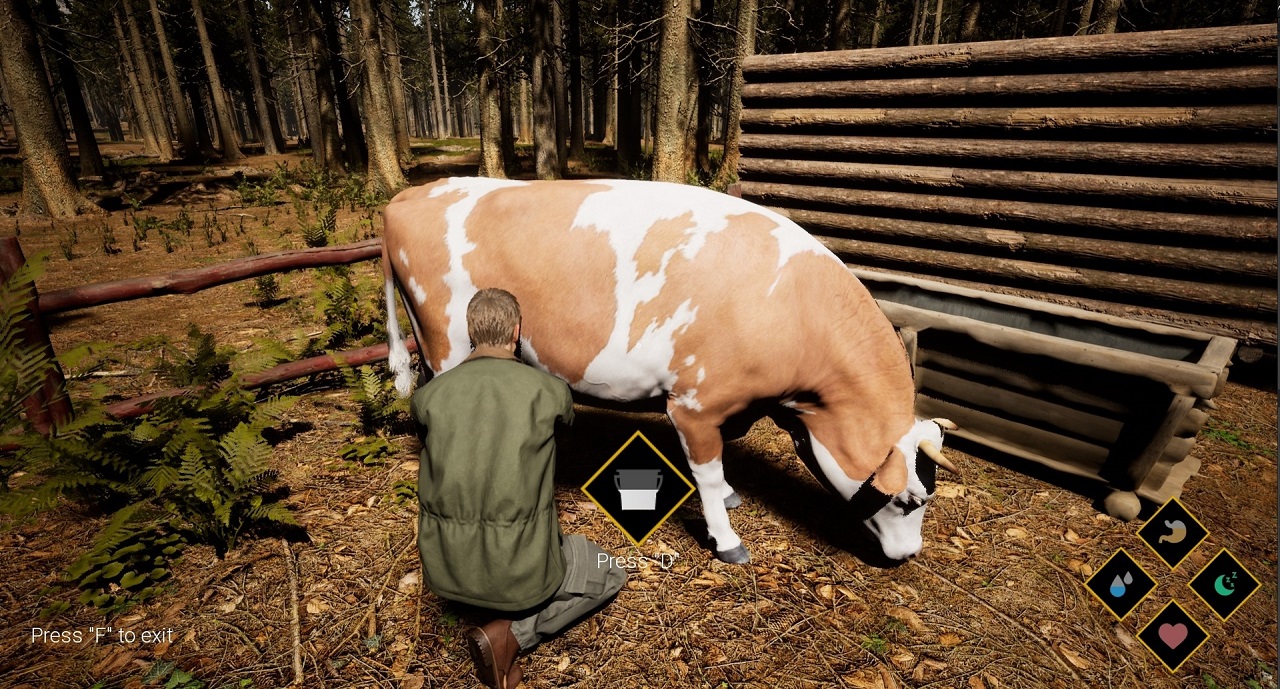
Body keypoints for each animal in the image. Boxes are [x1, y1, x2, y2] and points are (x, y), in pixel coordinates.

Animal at [381, 177, 959, 564]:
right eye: (910, 500)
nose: (910, 555)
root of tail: (410, 195)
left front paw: (729, 497)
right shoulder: (693, 405)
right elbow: (707, 472)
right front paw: (727, 540)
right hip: (449, 342)